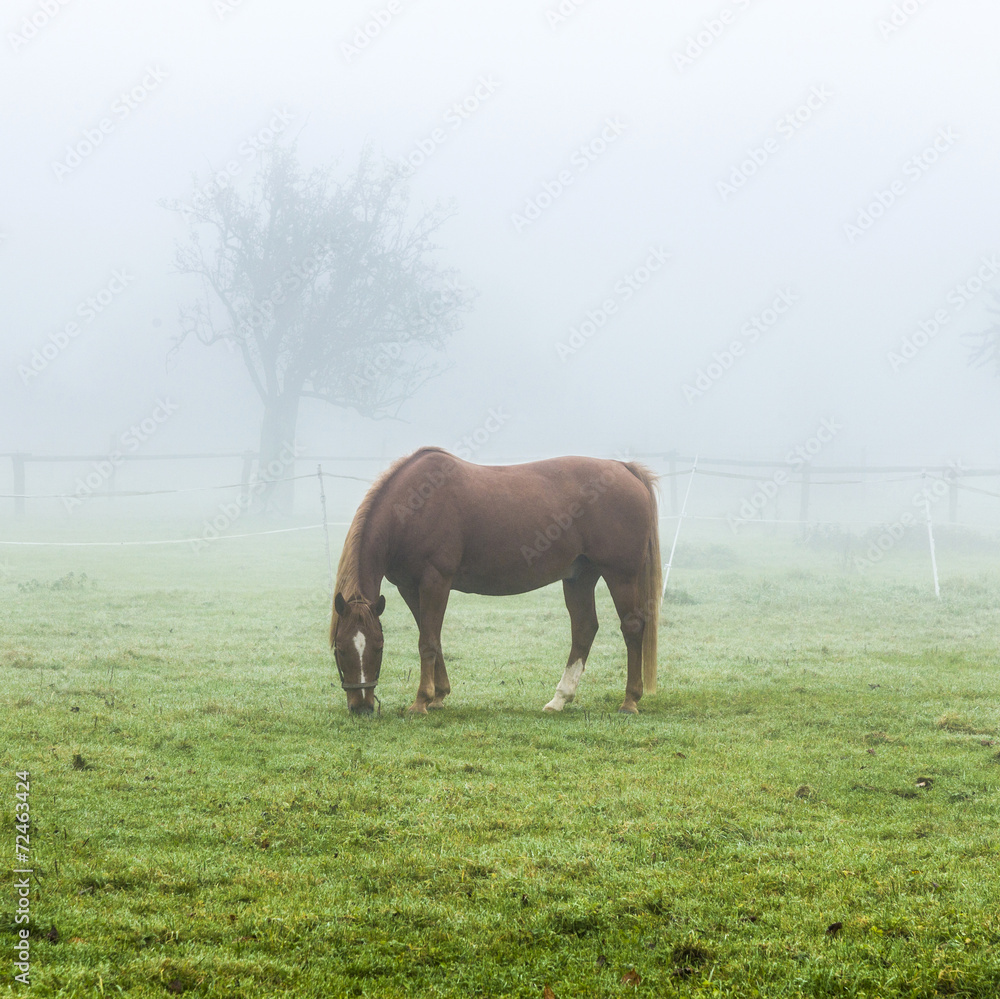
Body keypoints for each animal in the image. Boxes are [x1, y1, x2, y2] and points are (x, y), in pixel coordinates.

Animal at [330, 446, 661, 715]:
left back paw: (629, 701)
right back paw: (559, 699)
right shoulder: (409, 587)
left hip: (620, 574)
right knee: (584, 629)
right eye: (340, 649)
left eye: (378, 648)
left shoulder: (435, 581)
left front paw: (421, 701)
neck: (414, 505)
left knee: (632, 627)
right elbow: (432, 635)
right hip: (580, 576)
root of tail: (624, 468)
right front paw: (439, 695)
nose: (361, 707)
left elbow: (427, 641)